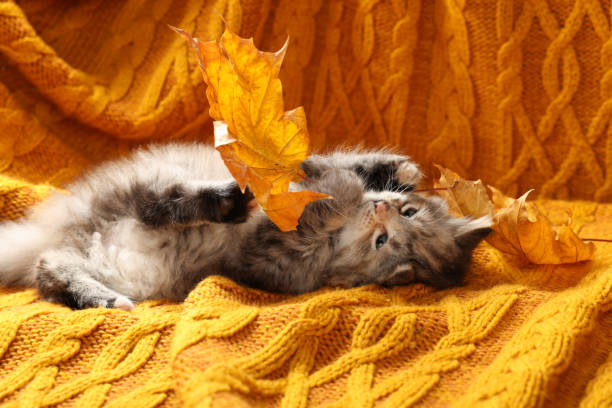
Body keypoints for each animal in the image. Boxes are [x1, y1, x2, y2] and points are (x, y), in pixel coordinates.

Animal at [0, 143, 490, 310]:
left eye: (383, 241)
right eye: (408, 214)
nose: (384, 208)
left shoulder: (267, 252)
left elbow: (328, 193)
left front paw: (347, 190)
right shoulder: (299, 176)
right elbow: (328, 164)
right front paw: (399, 171)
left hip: (122, 235)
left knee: (52, 269)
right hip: (135, 193)